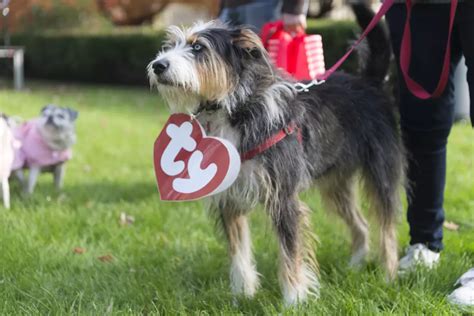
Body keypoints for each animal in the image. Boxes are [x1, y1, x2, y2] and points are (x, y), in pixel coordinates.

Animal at [147, 3, 404, 304]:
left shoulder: (284, 198)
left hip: (381, 174)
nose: (158, 65)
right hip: (335, 186)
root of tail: (369, 82)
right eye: (170, 46)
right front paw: (243, 294)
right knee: (361, 224)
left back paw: (389, 275)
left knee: (386, 226)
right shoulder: (229, 200)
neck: (234, 109)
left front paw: (294, 300)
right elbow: (238, 252)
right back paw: (356, 265)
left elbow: (290, 253)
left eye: (198, 47)